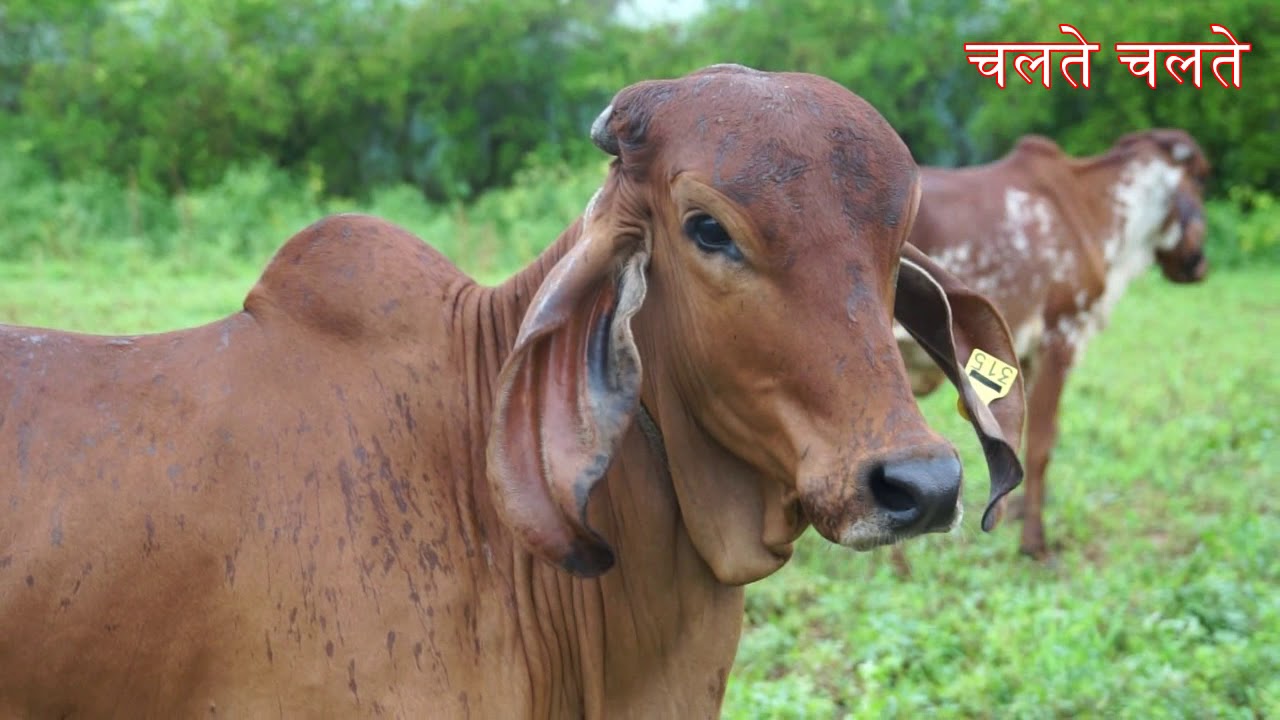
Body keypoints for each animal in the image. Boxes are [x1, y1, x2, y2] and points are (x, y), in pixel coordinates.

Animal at [896, 128, 1210, 560]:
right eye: (1200, 182)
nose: (1199, 265)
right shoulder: (1060, 336)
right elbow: (1042, 446)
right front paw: (1034, 542)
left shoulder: (1023, 355)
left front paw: (1013, 513)